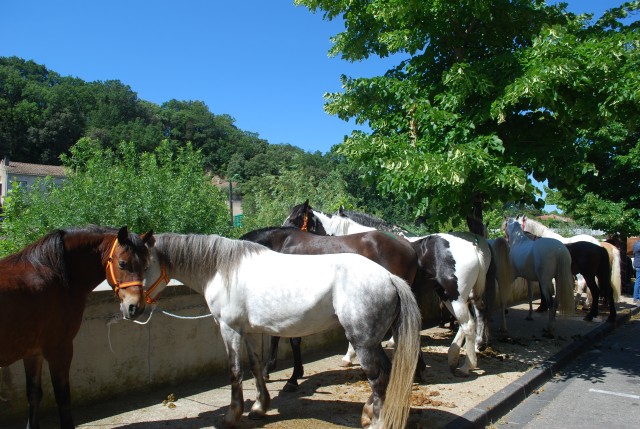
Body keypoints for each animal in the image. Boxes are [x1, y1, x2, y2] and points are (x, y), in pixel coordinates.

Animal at [0, 226, 154, 428]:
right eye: (122, 263)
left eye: (145, 266)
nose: (135, 307)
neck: (54, 273)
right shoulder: (59, 350)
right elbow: (63, 396)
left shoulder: (33, 352)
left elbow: (34, 394)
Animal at [284, 200, 490, 374]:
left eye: (294, 218)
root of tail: (473, 246)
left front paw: (349, 355)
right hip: (449, 295)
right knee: (470, 320)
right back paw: (457, 355)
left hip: (455, 296)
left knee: (471, 322)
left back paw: (467, 363)